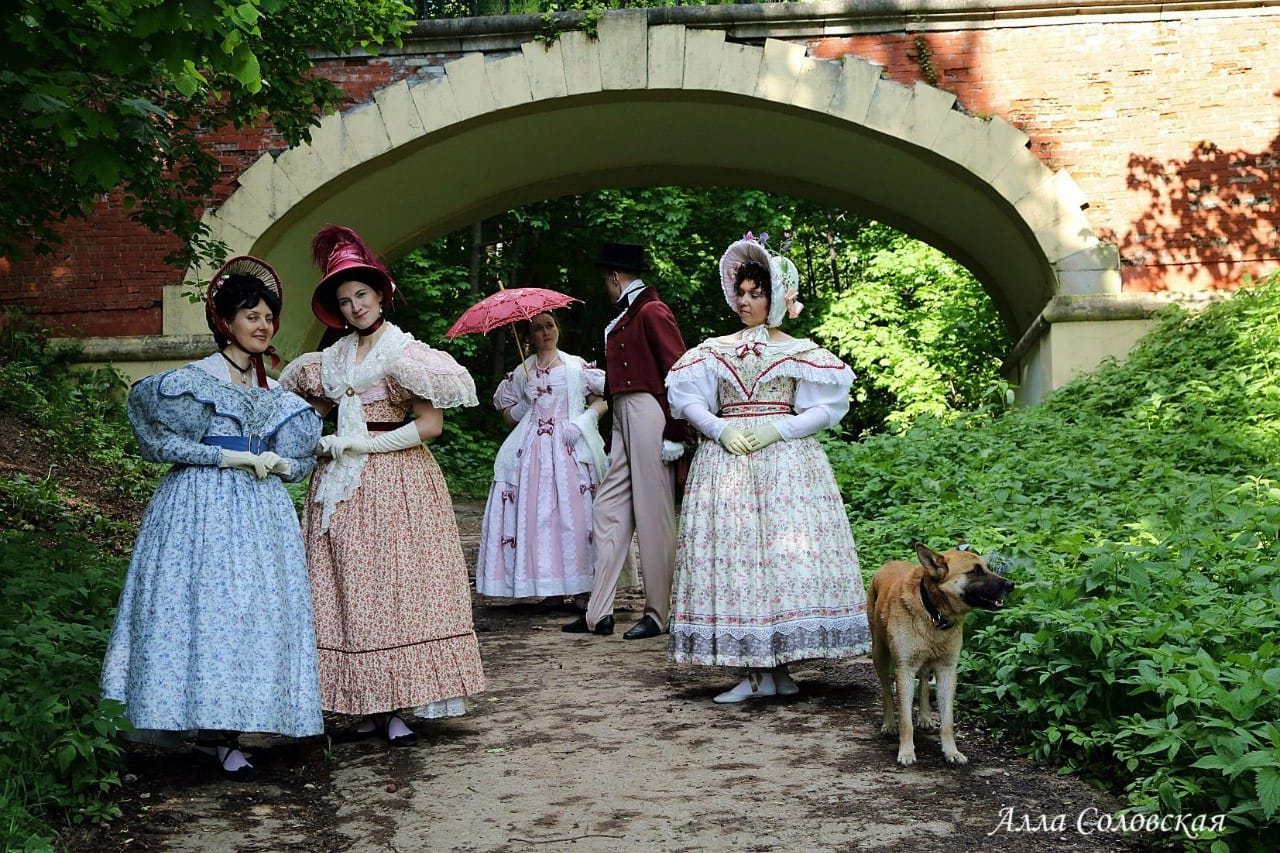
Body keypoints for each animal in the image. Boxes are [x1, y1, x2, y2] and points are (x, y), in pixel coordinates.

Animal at [865, 540, 1013, 768]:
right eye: (975, 571)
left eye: (987, 567)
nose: (1011, 585)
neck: (933, 612)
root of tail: (889, 563)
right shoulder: (905, 670)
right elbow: (905, 720)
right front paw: (906, 752)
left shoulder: (947, 671)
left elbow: (947, 721)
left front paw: (951, 751)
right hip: (879, 654)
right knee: (887, 690)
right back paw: (889, 723)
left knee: (925, 681)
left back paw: (925, 716)